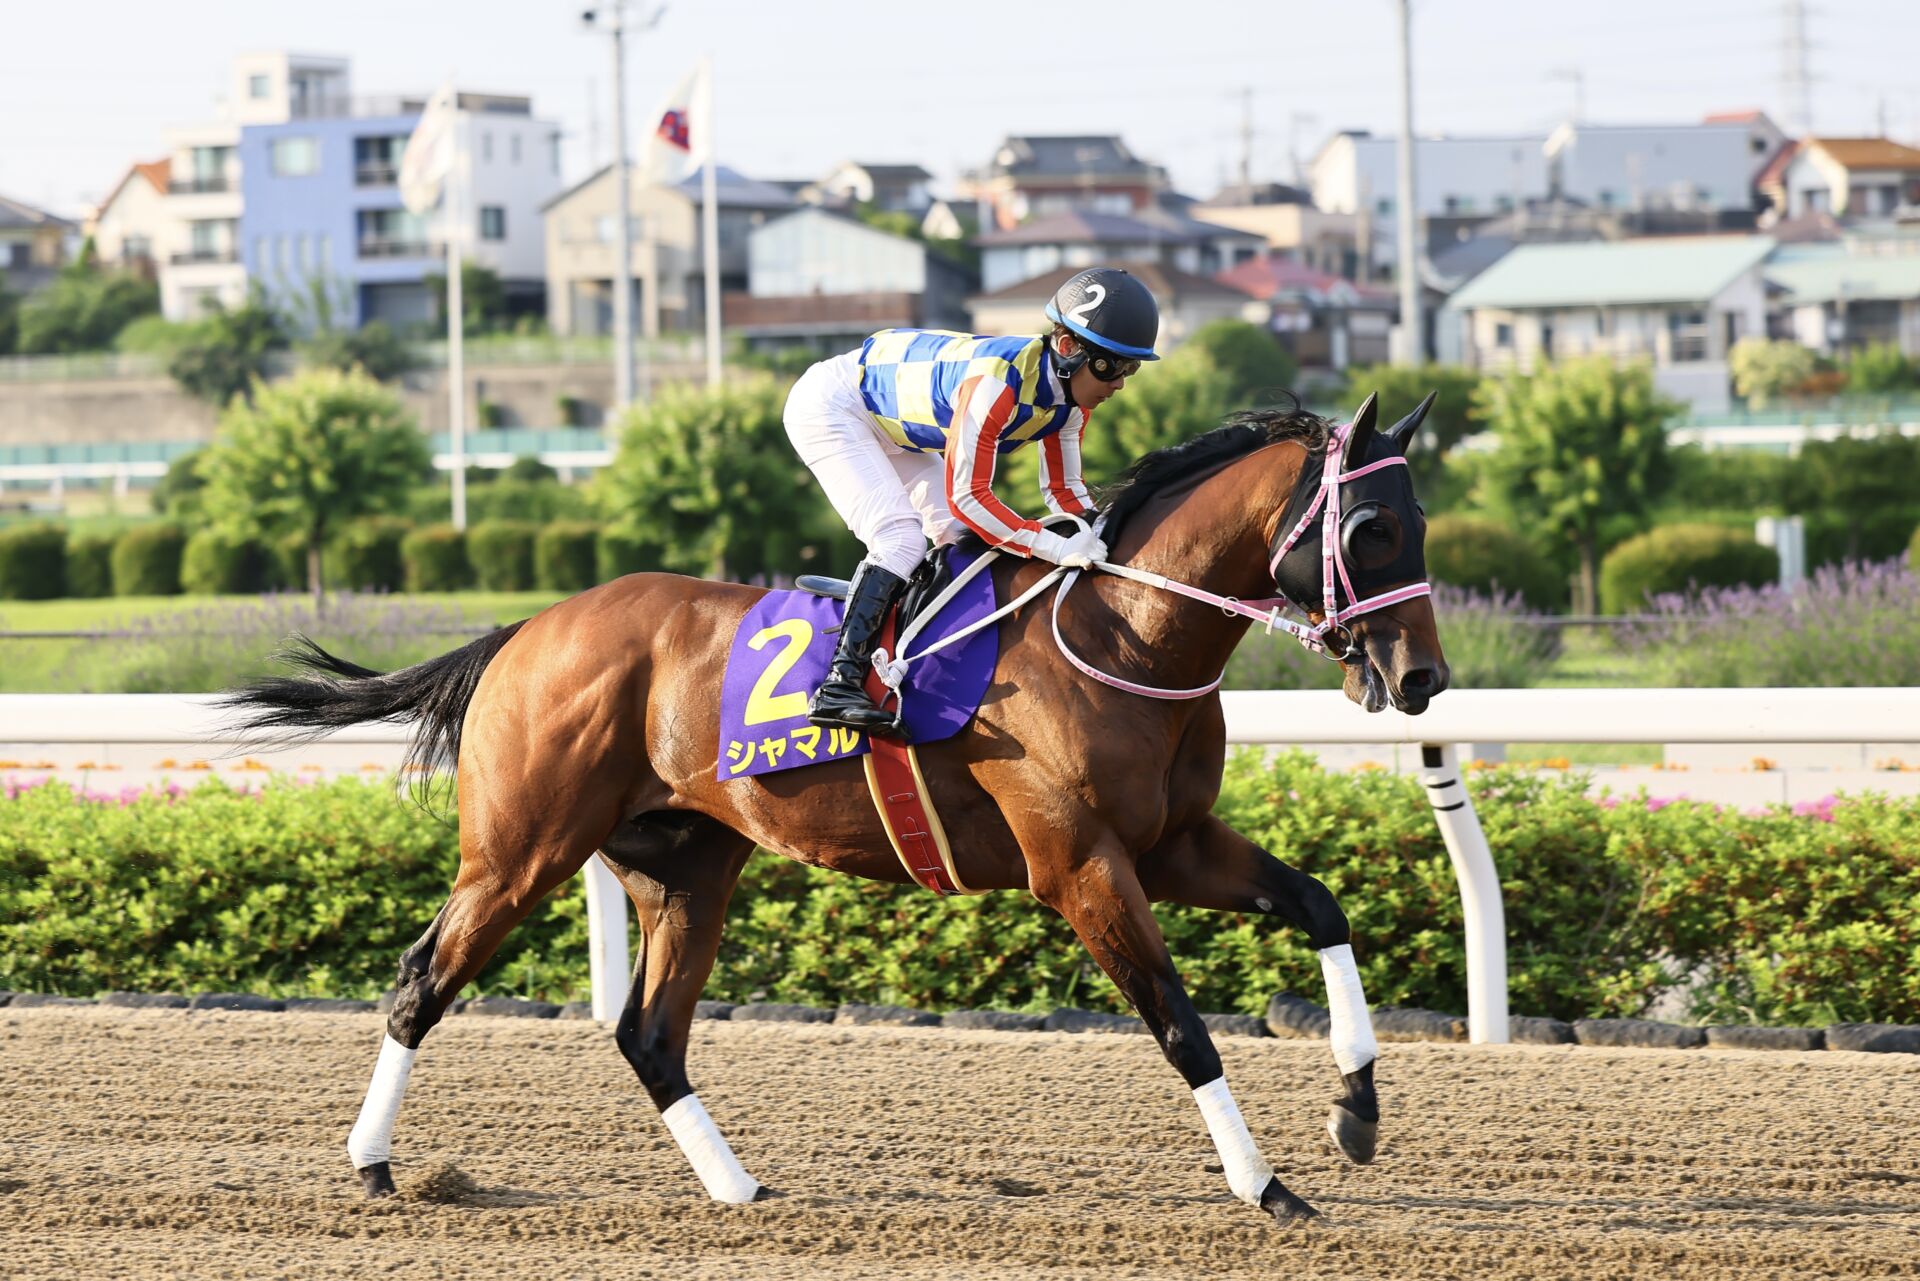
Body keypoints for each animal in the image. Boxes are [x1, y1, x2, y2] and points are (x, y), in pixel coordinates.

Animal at [220, 387, 1443, 1221]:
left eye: (1419, 522)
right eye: (1372, 529)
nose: (1423, 677)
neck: (1120, 634)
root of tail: (527, 629)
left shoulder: (1175, 843)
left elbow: (1322, 906)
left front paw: (1357, 1112)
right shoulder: (1079, 863)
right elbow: (1180, 1023)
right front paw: (1264, 1183)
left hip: (687, 866)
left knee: (648, 1035)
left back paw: (738, 1189)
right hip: (522, 848)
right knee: (423, 982)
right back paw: (374, 1163)